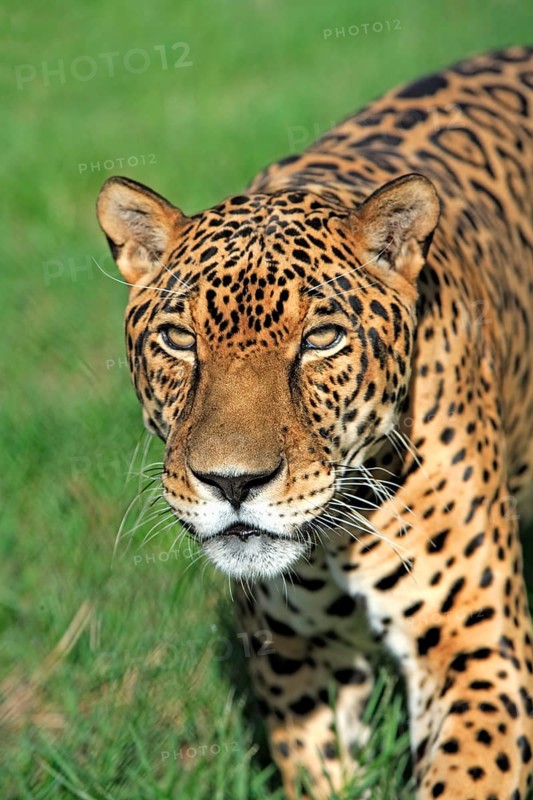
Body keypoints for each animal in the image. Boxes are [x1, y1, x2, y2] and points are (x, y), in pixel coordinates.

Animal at [96, 47, 533, 799]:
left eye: (322, 339)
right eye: (178, 341)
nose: (231, 483)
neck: (333, 541)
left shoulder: (476, 648)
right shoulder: (296, 658)